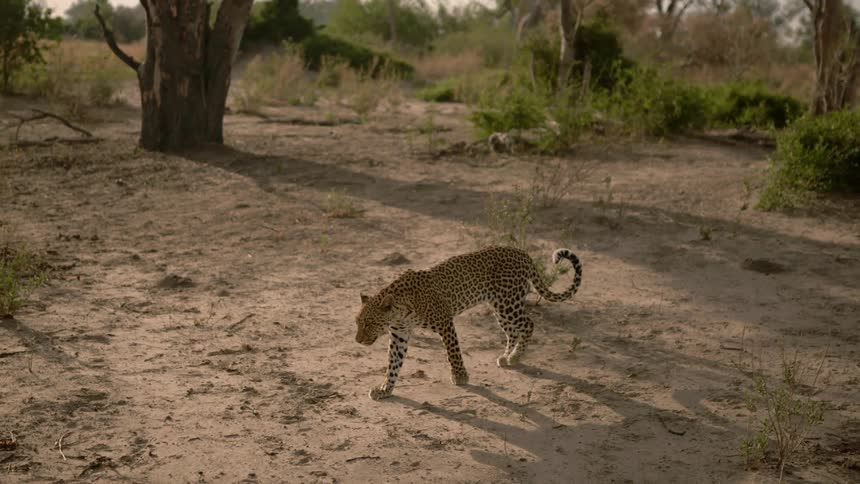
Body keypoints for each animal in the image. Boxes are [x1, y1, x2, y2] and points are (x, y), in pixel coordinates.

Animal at [355, 245, 583, 400]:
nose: (357, 340)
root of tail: (522, 253)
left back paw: (516, 357)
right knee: (513, 331)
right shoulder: (399, 335)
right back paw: (506, 357)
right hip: (500, 309)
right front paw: (385, 389)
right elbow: (393, 363)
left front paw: (460, 376)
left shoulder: (445, 322)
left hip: (509, 304)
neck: (400, 311)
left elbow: (453, 353)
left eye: (368, 323)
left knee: (528, 324)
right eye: (357, 323)